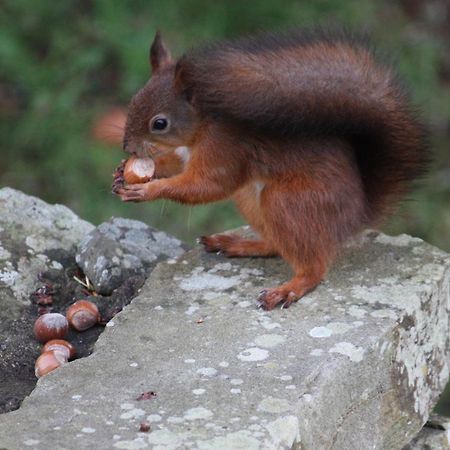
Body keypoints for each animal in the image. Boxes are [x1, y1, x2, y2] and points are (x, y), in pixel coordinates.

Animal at [113, 29, 428, 310]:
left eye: (160, 123)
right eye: (134, 99)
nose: (128, 146)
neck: (204, 125)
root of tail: (357, 215)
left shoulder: (226, 149)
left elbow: (208, 185)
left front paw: (147, 189)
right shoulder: (185, 153)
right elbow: (174, 164)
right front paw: (124, 172)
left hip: (287, 202)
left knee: (313, 267)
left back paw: (290, 288)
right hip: (250, 200)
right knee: (277, 245)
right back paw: (239, 244)